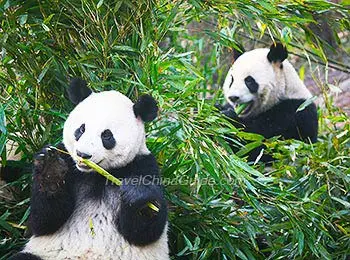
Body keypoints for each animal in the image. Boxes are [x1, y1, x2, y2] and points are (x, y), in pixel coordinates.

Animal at [10, 77, 169, 260]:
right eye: (81, 129)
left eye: (107, 135)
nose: (82, 154)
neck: (96, 174)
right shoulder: (66, 160)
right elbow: (42, 222)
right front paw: (51, 170)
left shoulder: (143, 165)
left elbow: (144, 232)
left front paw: (139, 196)